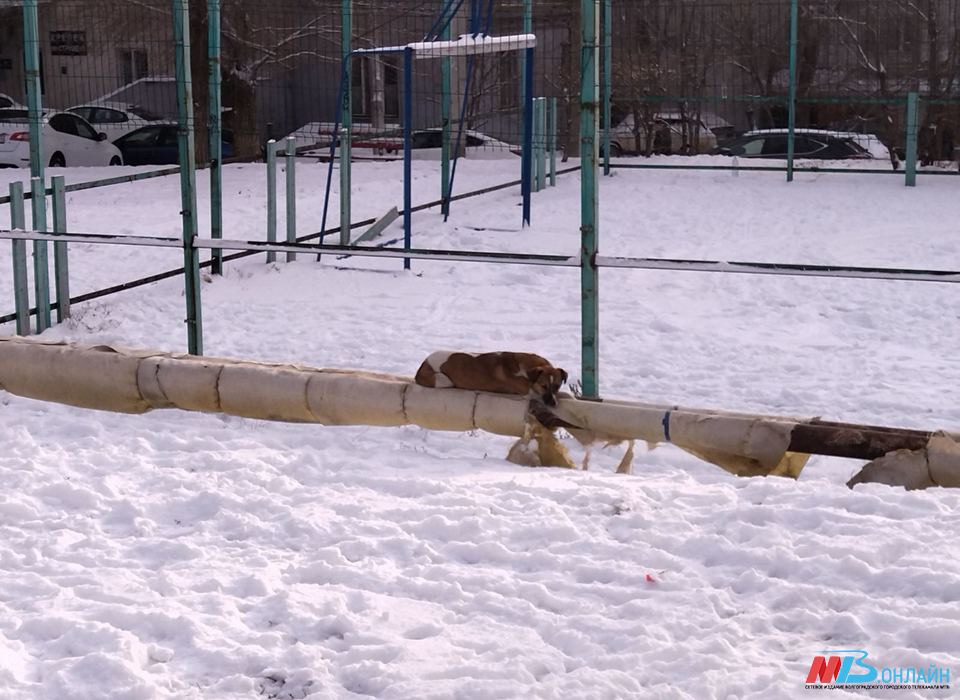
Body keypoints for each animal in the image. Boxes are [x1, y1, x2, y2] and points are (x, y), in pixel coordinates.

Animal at [414, 352, 568, 408]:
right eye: (543, 386)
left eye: (557, 386)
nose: (553, 404)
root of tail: (423, 364)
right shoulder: (526, 392)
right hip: (443, 380)